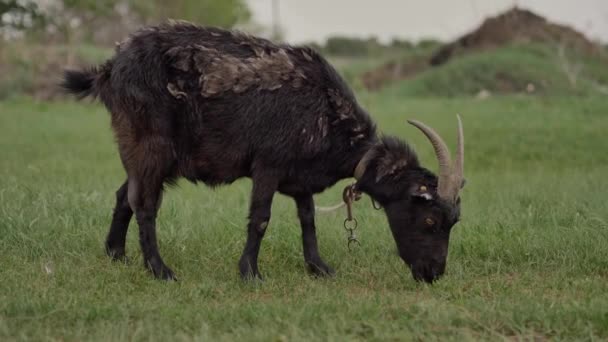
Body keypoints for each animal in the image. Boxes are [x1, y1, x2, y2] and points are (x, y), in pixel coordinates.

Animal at [63, 21, 466, 284]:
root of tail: (109, 69)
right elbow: (260, 218)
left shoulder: (300, 177)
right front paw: (250, 273)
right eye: (430, 220)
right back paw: (160, 271)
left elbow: (308, 219)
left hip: (146, 154)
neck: (326, 112)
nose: (433, 274)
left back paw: (116, 255)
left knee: (125, 195)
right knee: (145, 204)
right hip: (150, 144)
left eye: (453, 222)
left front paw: (319, 268)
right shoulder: (268, 165)